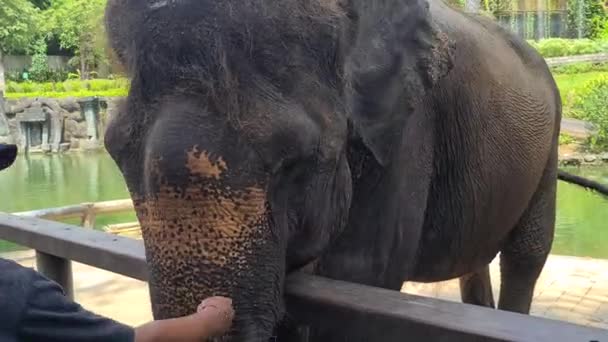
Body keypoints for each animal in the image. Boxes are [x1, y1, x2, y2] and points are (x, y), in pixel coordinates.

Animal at [102, 0, 604, 340]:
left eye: (298, 159)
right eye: (114, 151)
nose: (212, 311)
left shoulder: (406, 130)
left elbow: (357, 278)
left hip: (548, 143)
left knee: (526, 255)